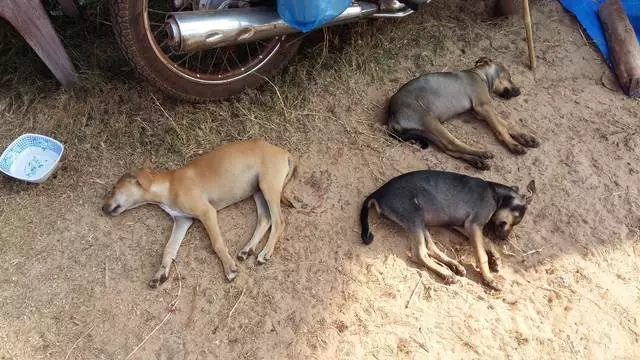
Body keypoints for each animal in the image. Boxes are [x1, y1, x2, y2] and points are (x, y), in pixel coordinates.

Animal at [102, 139, 296, 288]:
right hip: (257, 190)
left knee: (278, 221)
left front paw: (229, 268)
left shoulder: (207, 212)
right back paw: (247, 249)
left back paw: (265, 253)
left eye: (114, 188)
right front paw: (160, 273)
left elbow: (217, 243)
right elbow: (168, 249)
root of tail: (284, 152)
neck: (167, 187)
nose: (102, 209)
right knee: (265, 219)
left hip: (268, 185)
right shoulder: (182, 220)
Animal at [358, 170, 532, 292]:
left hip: (421, 220)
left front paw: (495, 259)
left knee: (430, 248)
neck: (495, 193)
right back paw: (447, 274)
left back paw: (454, 266)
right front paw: (489, 279)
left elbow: (486, 240)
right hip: (414, 216)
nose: (504, 239)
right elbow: (481, 254)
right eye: (516, 219)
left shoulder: (463, 225)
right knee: (419, 254)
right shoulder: (473, 225)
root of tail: (378, 192)